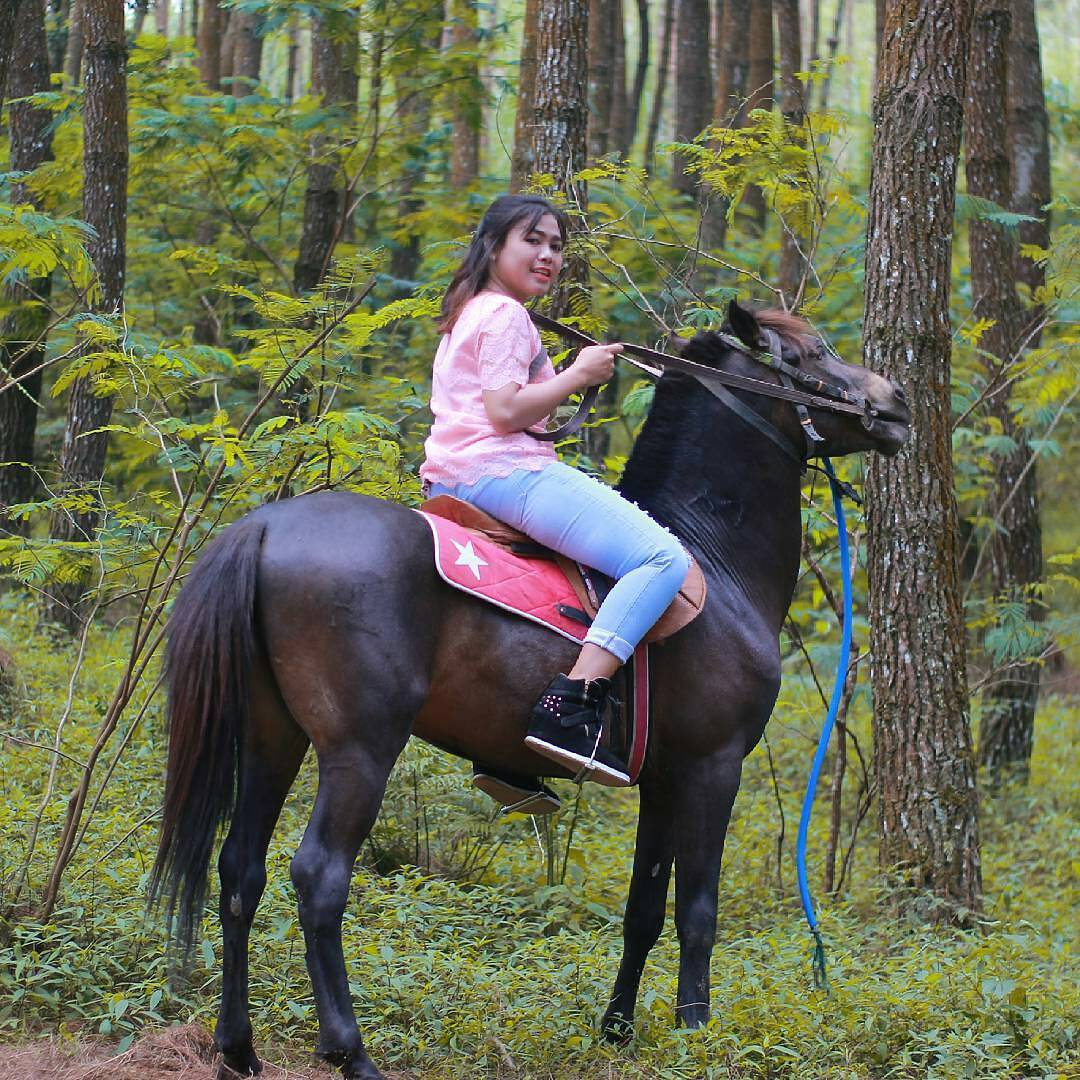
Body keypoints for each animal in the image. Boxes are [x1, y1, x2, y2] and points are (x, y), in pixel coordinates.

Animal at [150, 300, 911, 1075]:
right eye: (812, 353)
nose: (896, 401)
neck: (714, 563)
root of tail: (266, 526)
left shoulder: (662, 778)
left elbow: (643, 909)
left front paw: (618, 1029)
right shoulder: (712, 767)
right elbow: (698, 911)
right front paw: (695, 1036)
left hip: (272, 736)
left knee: (240, 871)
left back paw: (237, 1047)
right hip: (358, 748)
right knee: (319, 877)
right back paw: (349, 1050)